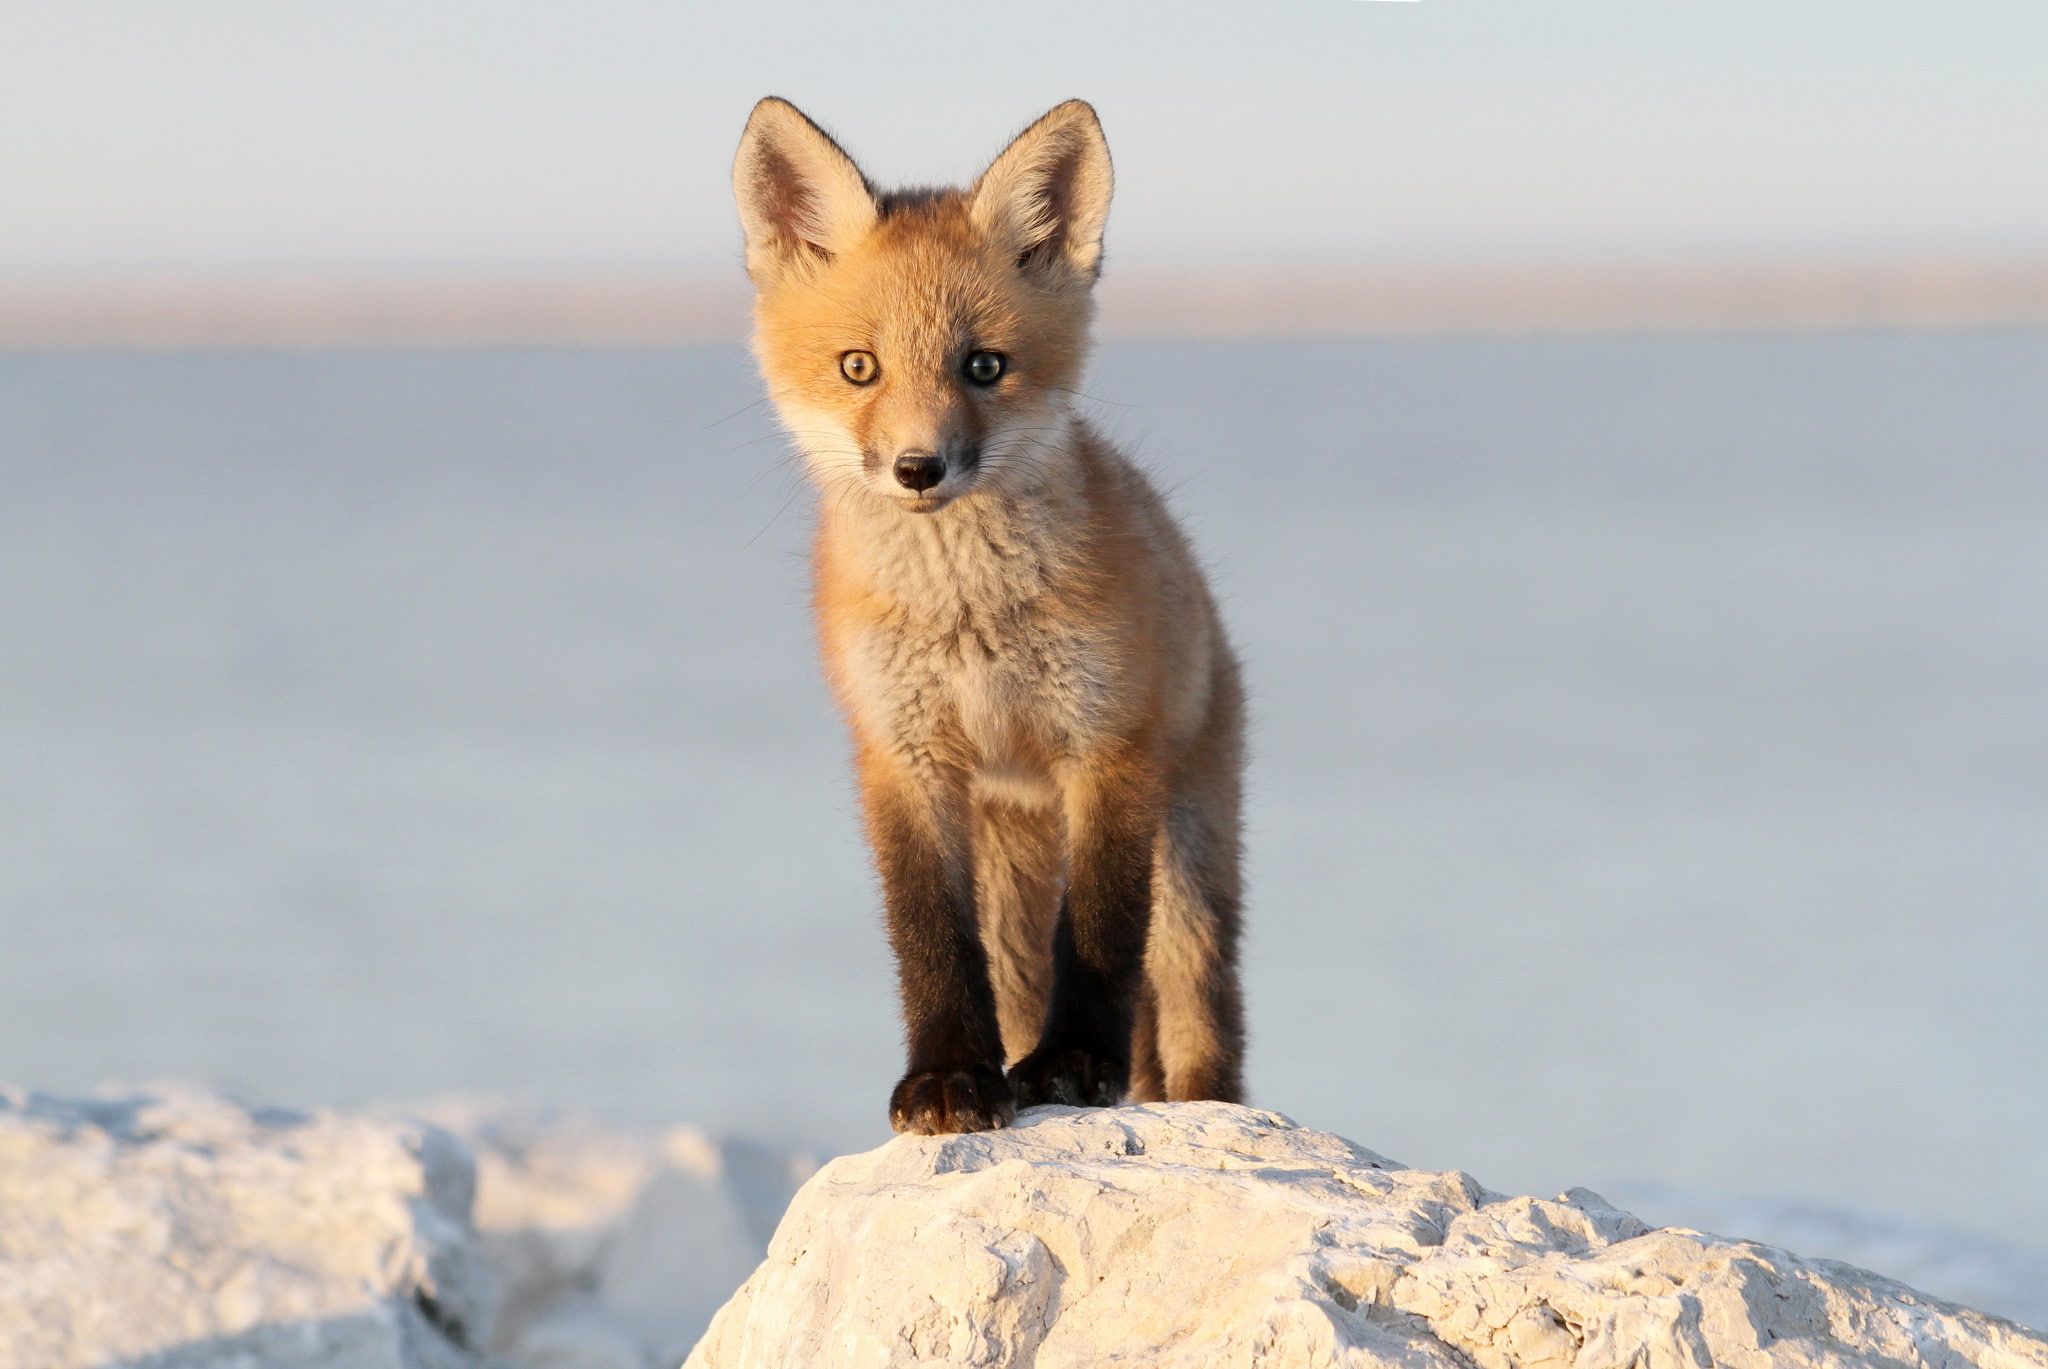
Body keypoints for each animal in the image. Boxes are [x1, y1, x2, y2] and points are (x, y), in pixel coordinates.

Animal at [737, 98, 1245, 1131]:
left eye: (983, 366)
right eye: (859, 367)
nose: (919, 468)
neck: (967, 618)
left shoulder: (1107, 748)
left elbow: (1098, 936)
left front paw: (1075, 1064)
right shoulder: (903, 755)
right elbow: (930, 935)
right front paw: (948, 1077)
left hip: (1187, 874)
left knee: (1196, 1026)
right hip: (1010, 882)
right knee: (1013, 976)